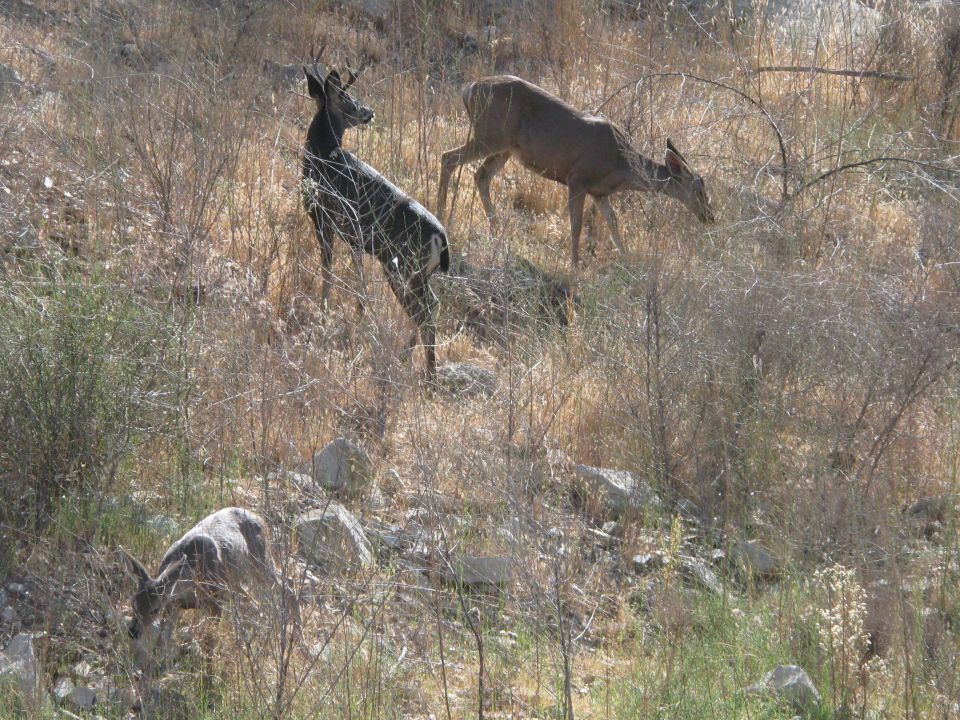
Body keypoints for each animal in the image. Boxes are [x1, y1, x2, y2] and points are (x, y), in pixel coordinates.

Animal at [119, 507, 299, 675]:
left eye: (155, 609)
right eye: (133, 603)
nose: (133, 632)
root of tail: (260, 518)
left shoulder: (215, 600)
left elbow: (209, 642)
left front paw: (209, 674)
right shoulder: (173, 604)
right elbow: (161, 640)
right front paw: (150, 672)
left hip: (260, 561)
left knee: (287, 586)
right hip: (237, 580)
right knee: (254, 598)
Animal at [301, 54, 450, 378]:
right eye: (348, 99)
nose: (369, 112)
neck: (324, 154)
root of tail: (442, 237)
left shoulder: (322, 217)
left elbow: (328, 268)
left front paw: (324, 309)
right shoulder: (355, 240)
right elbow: (357, 276)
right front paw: (359, 312)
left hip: (406, 267)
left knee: (427, 310)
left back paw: (425, 370)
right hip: (414, 271)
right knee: (432, 306)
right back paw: (413, 359)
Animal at [437, 75, 716, 267]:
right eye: (700, 191)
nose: (710, 217)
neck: (621, 165)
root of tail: (470, 88)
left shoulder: (599, 192)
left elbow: (613, 223)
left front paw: (626, 260)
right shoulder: (578, 179)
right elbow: (577, 225)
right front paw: (575, 264)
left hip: (504, 147)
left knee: (480, 175)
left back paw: (495, 230)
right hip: (490, 135)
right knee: (448, 157)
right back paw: (441, 216)